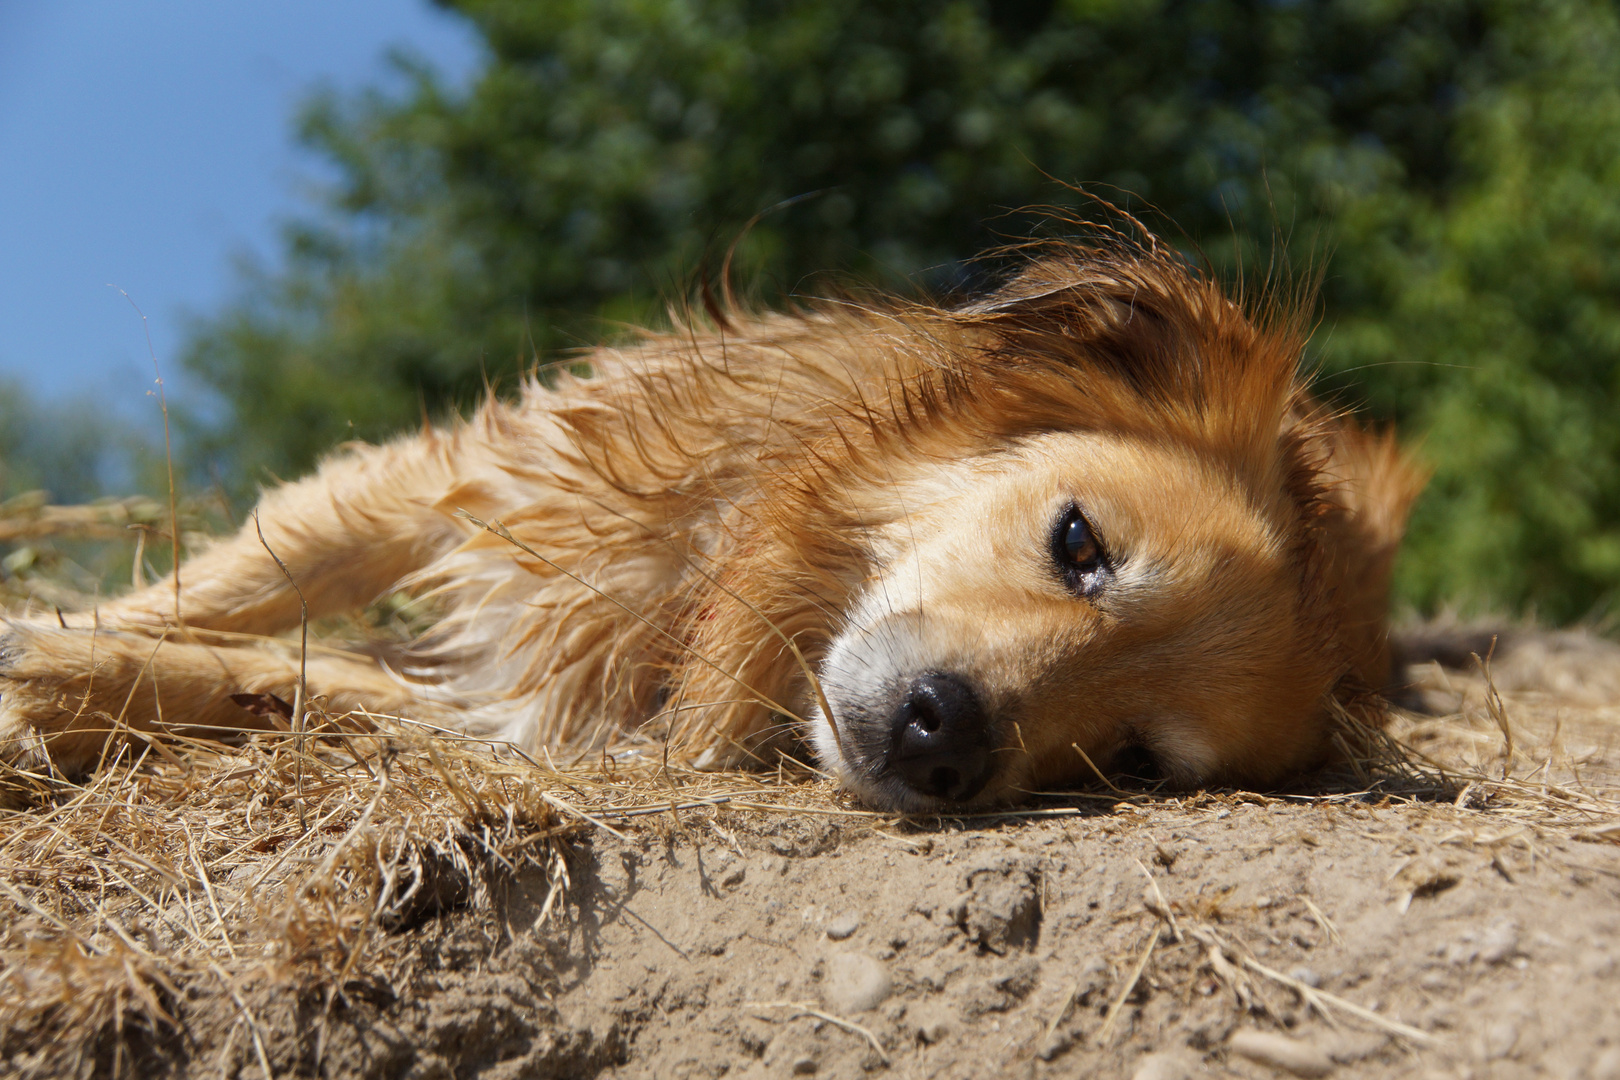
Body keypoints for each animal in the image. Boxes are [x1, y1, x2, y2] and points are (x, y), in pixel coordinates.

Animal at [0, 229, 1419, 809]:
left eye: (1131, 759)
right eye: (1080, 544)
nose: (946, 742)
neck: (720, 595)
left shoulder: (544, 721)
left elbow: (299, 679)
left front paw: (72, 681)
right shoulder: (472, 477)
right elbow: (241, 590)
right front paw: (73, 634)